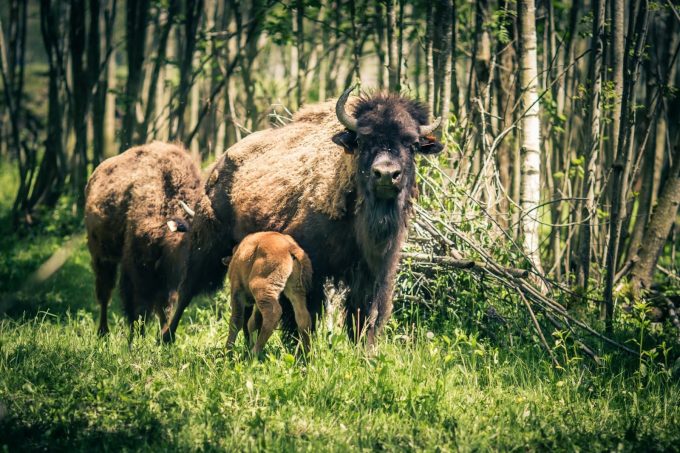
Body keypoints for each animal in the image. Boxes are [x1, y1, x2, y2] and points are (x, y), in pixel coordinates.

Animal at [84, 141, 201, 336]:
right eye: (194, 239)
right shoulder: (136, 268)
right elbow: (138, 307)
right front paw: (137, 336)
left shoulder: (166, 279)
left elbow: (164, 308)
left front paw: (162, 336)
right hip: (101, 256)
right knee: (105, 293)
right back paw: (103, 332)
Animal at [162, 85, 444, 346]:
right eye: (364, 141)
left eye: (411, 144)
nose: (386, 174)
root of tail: (219, 165)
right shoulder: (311, 267)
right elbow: (304, 313)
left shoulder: (376, 271)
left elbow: (367, 314)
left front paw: (365, 352)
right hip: (206, 246)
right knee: (186, 292)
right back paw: (166, 338)